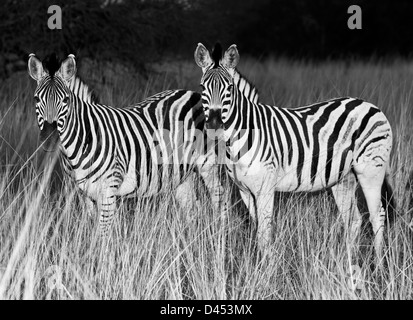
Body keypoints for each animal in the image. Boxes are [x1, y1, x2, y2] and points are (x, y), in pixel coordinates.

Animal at [27, 53, 222, 235]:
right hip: (181, 174)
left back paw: (221, 234)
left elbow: (102, 234)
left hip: (207, 164)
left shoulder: (108, 190)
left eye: (65, 100)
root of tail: (191, 93)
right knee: (193, 209)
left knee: (219, 197)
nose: (50, 139)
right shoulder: (83, 194)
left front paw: (100, 251)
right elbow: (91, 229)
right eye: (36, 99)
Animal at [195, 42, 394, 258]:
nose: (214, 124)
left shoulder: (265, 188)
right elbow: (257, 229)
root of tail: (371, 105)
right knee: (354, 220)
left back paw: (379, 263)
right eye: (202, 87)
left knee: (377, 216)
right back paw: (348, 261)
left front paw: (266, 266)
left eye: (230, 88)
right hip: (343, 178)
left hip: (371, 170)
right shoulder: (245, 191)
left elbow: (264, 234)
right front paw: (256, 263)